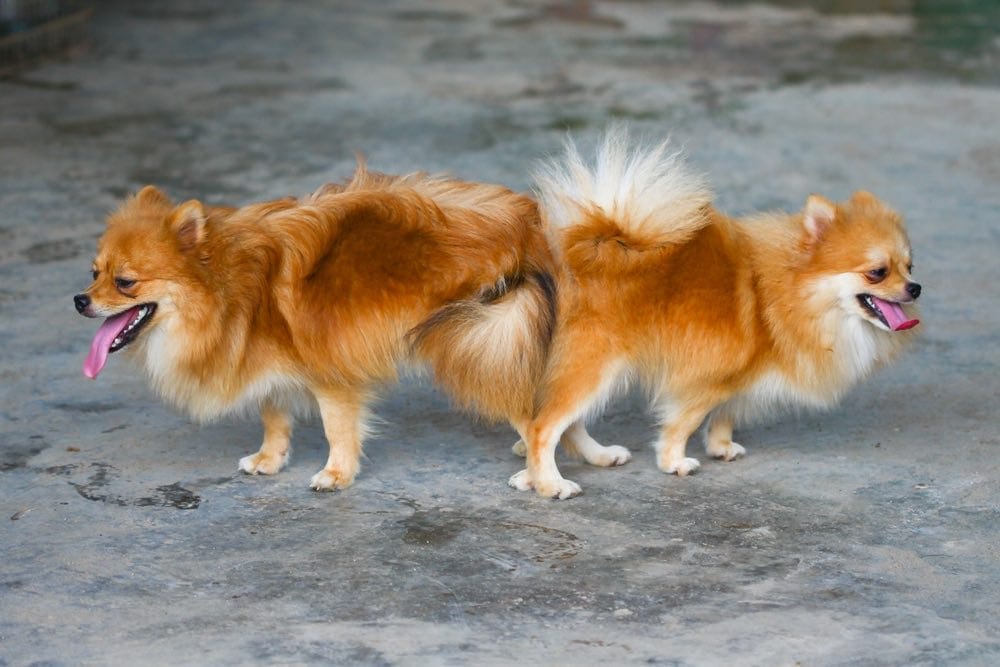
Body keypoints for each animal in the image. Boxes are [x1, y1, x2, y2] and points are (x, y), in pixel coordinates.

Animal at [74, 164, 624, 490]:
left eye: (125, 283)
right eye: (92, 272)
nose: (79, 301)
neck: (232, 287)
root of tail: (533, 232)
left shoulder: (329, 369)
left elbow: (337, 427)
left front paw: (335, 474)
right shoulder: (270, 365)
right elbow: (274, 416)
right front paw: (270, 459)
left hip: (476, 338)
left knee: (539, 419)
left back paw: (544, 479)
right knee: (555, 412)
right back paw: (595, 457)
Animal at [512, 128, 924, 498]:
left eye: (910, 266)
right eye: (878, 272)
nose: (915, 288)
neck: (787, 294)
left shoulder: (739, 375)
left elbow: (726, 413)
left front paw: (720, 446)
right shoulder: (704, 377)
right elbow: (684, 422)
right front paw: (674, 462)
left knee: (562, 424)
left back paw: (591, 458)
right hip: (595, 366)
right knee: (543, 427)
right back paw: (552, 484)